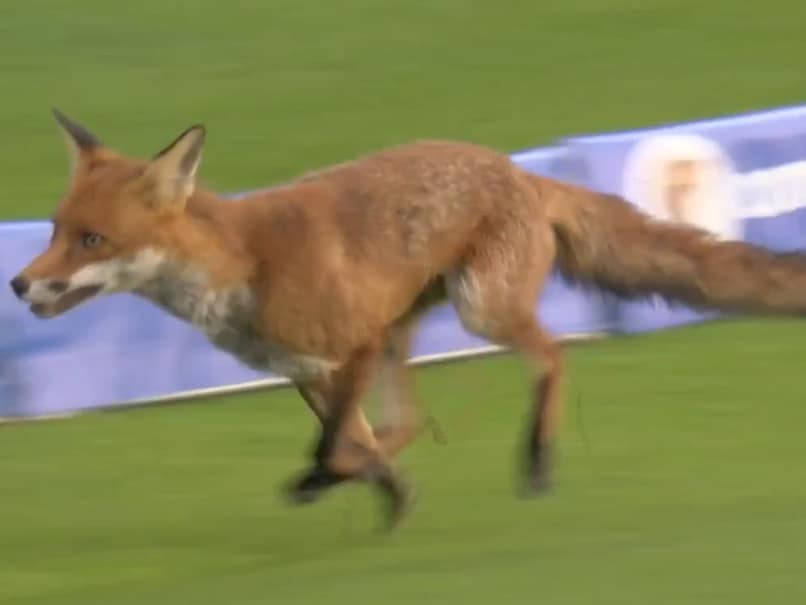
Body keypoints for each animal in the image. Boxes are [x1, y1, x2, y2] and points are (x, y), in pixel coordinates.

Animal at [12, 109, 806, 530]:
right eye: (54, 230)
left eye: (92, 240)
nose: (19, 284)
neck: (244, 265)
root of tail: (518, 168)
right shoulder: (308, 369)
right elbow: (354, 440)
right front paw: (381, 492)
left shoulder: (355, 343)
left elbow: (337, 444)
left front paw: (328, 482)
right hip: (408, 333)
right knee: (414, 418)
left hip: (478, 310)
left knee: (552, 354)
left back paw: (537, 457)